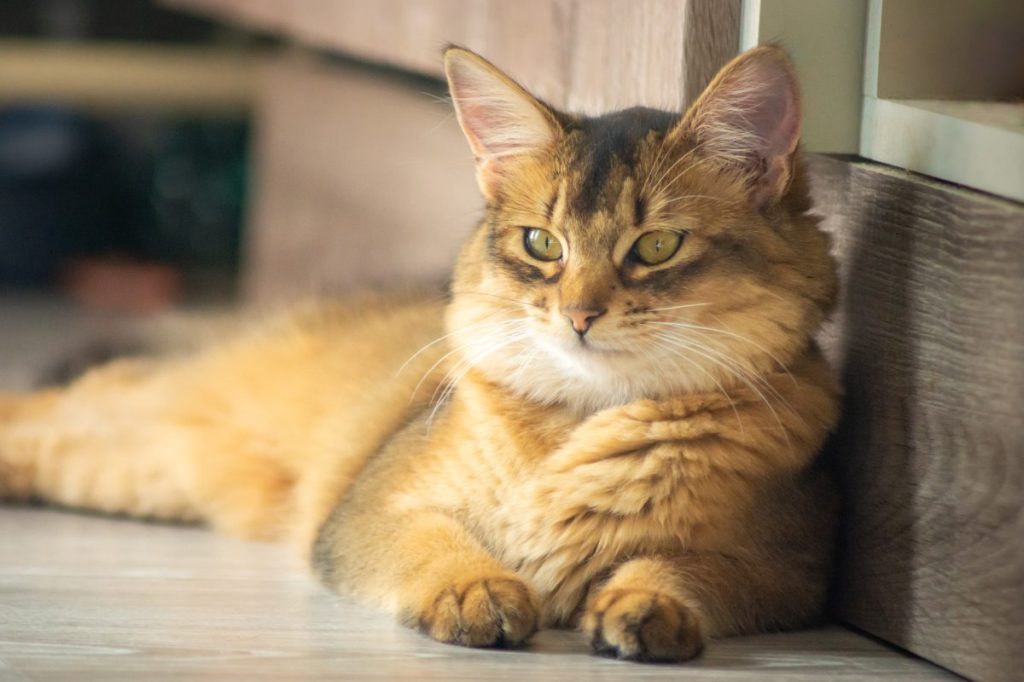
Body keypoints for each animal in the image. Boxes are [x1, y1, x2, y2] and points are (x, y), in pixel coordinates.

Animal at [0, 43, 839, 659]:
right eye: (543, 244)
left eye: (657, 247)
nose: (579, 316)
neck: (576, 424)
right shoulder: (369, 508)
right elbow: (433, 540)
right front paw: (475, 590)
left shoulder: (789, 569)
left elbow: (690, 568)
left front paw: (646, 602)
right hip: (145, 413)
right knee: (45, 401)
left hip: (138, 467)